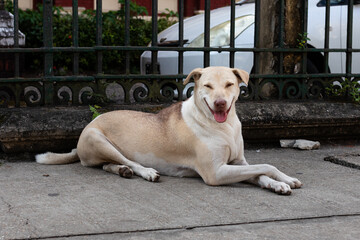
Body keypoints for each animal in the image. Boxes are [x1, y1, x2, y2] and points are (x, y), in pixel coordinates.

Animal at [35, 66, 300, 194]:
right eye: (207, 86)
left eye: (229, 84)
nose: (220, 103)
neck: (223, 126)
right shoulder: (216, 173)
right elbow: (266, 165)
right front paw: (285, 178)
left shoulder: (238, 163)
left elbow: (260, 172)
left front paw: (279, 184)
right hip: (98, 139)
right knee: (131, 161)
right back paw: (145, 172)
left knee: (110, 164)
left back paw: (121, 171)